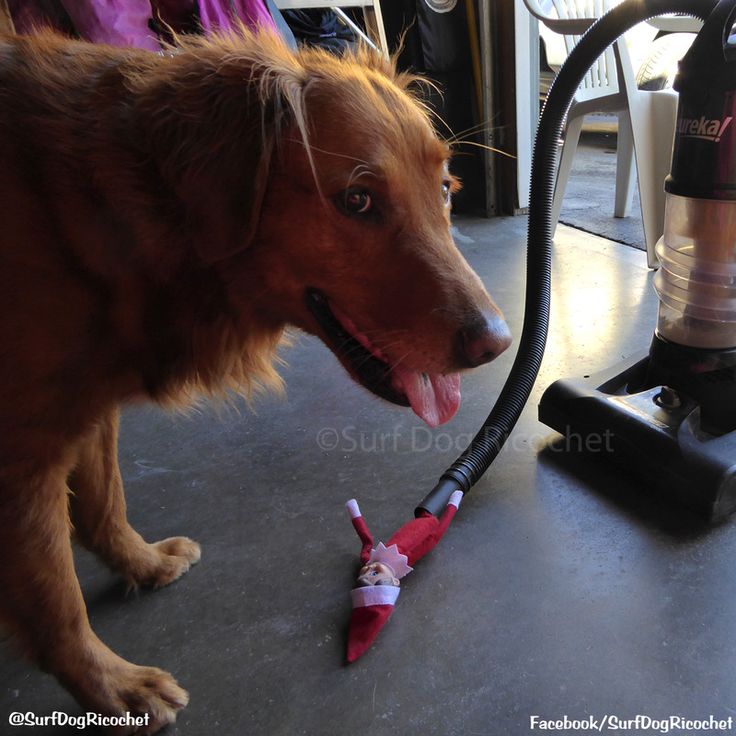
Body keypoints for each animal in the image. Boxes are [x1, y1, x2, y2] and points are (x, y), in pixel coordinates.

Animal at [0, 25, 508, 732]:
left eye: (445, 188)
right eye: (357, 199)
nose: (499, 342)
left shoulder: (89, 408)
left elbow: (104, 502)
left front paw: (141, 564)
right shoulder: (24, 459)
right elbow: (58, 600)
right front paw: (116, 688)